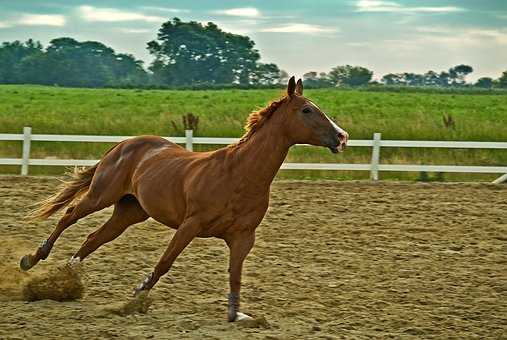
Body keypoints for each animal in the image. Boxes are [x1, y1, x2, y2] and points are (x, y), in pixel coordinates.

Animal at [17, 76, 348, 322]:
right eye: (307, 110)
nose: (342, 137)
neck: (239, 173)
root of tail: (124, 144)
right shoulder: (190, 225)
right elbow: (165, 262)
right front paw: (136, 297)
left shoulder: (243, 237)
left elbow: (235, 275)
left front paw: (236, 315)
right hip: (101, 195)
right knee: (69, 215)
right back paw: (32, 260)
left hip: (129, 212)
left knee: (93, 238)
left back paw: (67, 277)